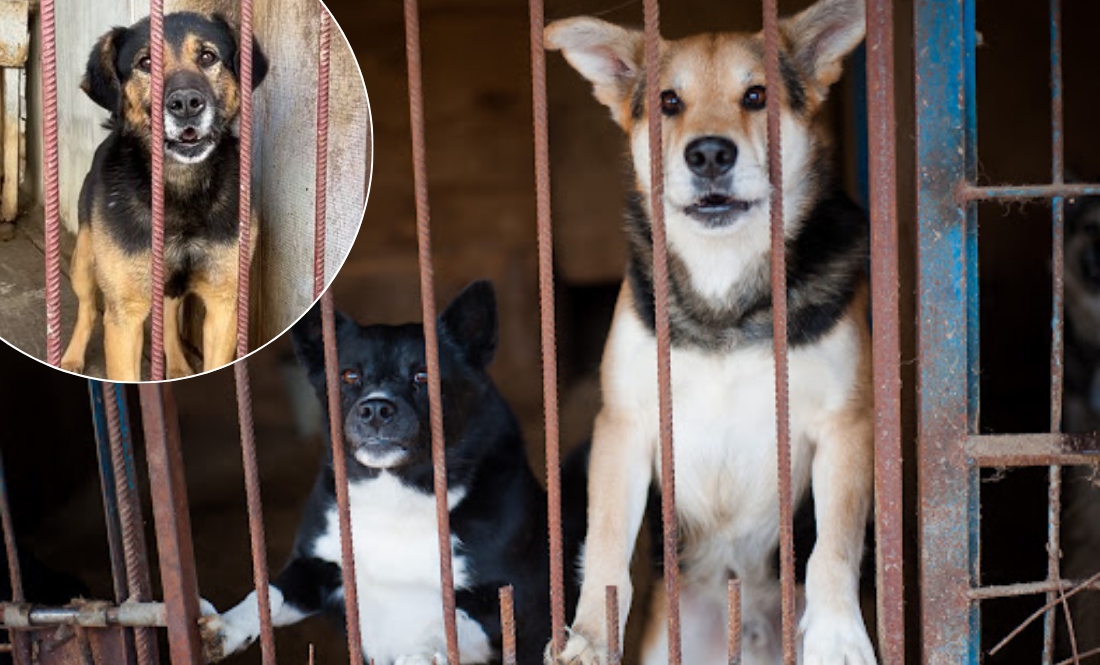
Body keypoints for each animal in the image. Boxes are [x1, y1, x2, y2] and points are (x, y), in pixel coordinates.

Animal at [58, 11, 268, 378]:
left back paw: (179, 366)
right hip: (84, 259)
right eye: (146, 63)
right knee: (88, 308)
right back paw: (72, 357)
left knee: (168, 315)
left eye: (208, 57)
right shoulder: (125, 318)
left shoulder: (223, 304)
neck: (179, 187)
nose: (186, 105)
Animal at [201, 281, 589, 663]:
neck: (396, 494)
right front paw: (225, 626)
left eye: (423, 375)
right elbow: (267, 593)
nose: (375, 409)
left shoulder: (507, 603)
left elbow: (442, 627)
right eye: (349, 375)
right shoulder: (316, 566)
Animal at [543, 0, 875, 659]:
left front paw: (836, 634)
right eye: (670, 102)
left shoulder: (847, 425)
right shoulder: (623, 426)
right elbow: (606, 550)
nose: (710, 155)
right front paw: (590, 637)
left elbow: (834, 545)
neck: (725, 295)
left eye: (756, 95)